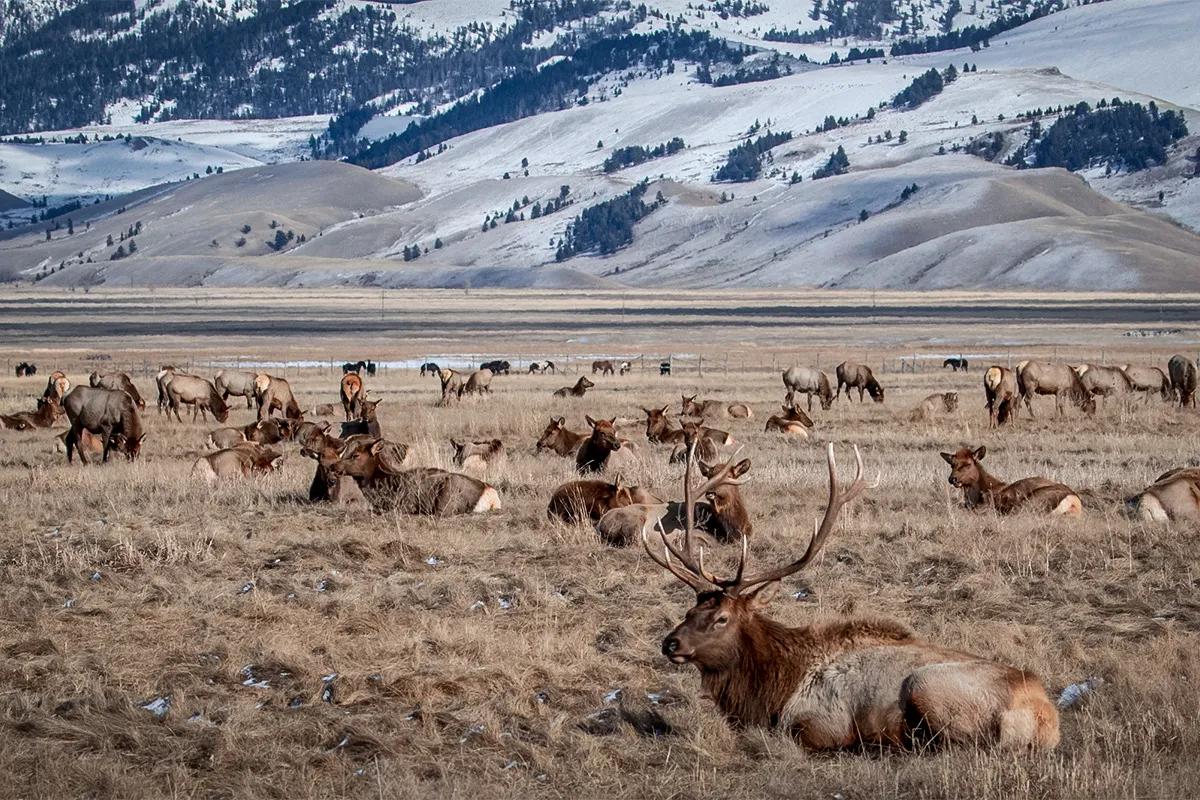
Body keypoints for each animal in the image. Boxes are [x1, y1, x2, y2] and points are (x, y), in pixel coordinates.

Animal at [644, 442, 1060, 751]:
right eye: (689, 610)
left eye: (722, 618)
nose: (670, 643)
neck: (772, 687)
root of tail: (1046, 718)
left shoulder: (820, 722)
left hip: (928, 686)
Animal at [940, 446, 1082, 516]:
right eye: (952, 464)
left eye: (968, 464)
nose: (952, 479)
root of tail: (1074, 501)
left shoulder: (988, 503)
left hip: (1030, 502)